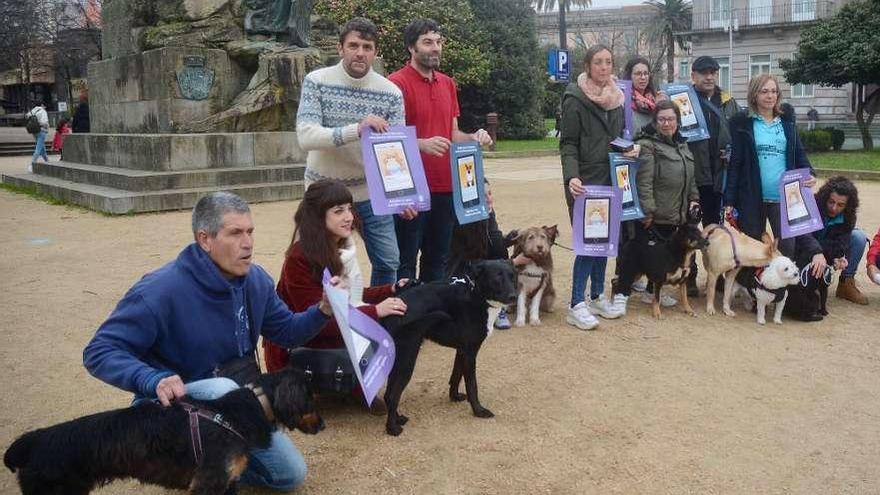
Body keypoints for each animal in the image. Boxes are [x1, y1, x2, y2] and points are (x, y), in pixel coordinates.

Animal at [5, 368, 322, 495]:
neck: (234, 414)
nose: (323, 425)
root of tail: (34, 440)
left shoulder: (228, 481)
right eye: (310, 399)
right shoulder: (208, 483)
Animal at [382, 260, 520, 438]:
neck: (477, 296)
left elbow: (456, 376)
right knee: (393, 394)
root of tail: (394, 306)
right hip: (408, 358)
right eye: (497, 278)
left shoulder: (462, 350)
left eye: (513, 276)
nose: (513, 297)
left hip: (398, 359)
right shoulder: (470, 352)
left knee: (389, 393)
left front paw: (454, 397)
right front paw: (479, 411)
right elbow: (472, 385)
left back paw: (398, 418)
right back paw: (392, 429)